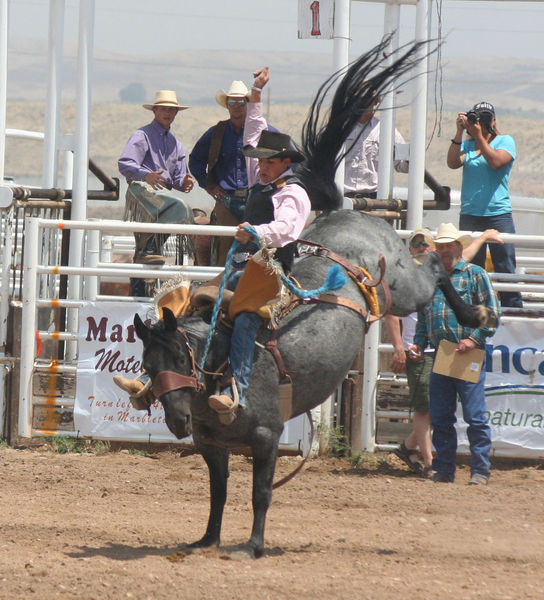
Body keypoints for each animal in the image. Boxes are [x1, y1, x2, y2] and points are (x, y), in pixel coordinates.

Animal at [133, 38, 492, 556]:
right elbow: (218, 493)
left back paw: (473, 305)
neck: (220, 362)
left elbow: (260, 493)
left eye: (181, 359)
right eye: (147, 363)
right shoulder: (211, 445)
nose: (177, 421)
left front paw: (253, 545)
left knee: (436, 269)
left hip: (405, 286)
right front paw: (207, 539)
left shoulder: (267, 436)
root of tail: (349, 212)